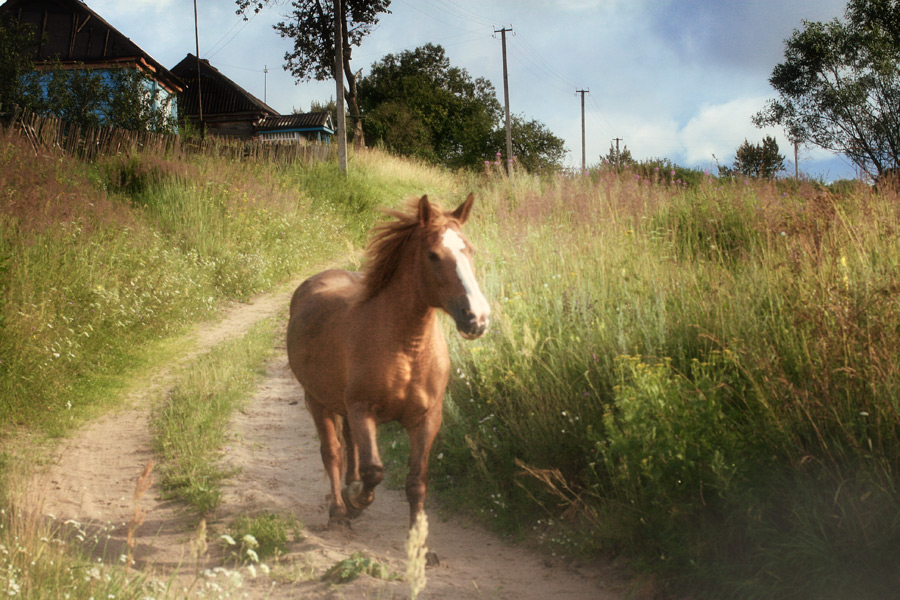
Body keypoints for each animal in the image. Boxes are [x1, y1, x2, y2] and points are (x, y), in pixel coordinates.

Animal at [286, 195, 486, 528]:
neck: (407, 350)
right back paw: (339, 508)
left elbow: (416, 481)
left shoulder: (426, 419)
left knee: (348, 444)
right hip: (317, 399)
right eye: (433, 255)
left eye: (470, 250)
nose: (477, 318)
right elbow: (374, 471)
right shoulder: (363, 411)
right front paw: (356, 500)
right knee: (332, 451)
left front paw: (417, 536)